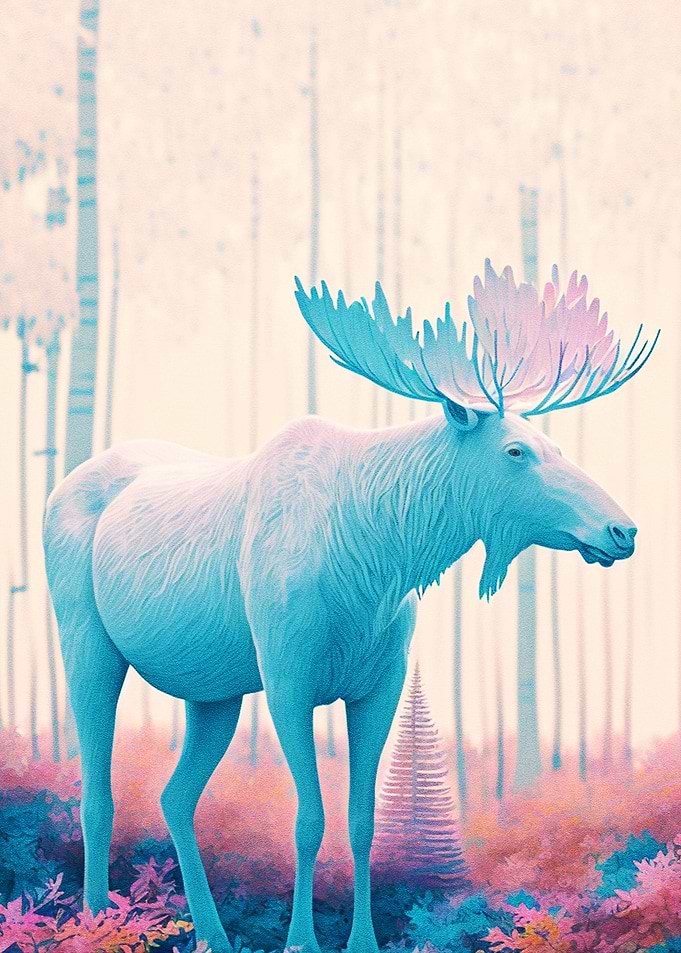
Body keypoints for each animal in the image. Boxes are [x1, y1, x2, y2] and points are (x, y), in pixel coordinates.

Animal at [43, 260, 657, 953]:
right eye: (515, 450)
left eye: (550, 444)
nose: (622, 530)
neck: (378, 559)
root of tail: (61, 486)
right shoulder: (289, 677)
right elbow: (309, 818)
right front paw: (301, 940)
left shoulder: (380, 682)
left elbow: (364, 819)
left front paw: (362, 937)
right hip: (86, 640)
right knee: (97, 792)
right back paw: (96, 925)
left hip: (215, 689)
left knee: (175, 796)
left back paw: (212, 935)